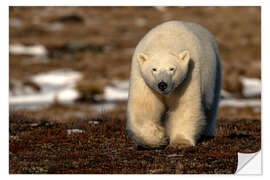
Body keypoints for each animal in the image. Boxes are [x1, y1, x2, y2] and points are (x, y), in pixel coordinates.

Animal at [125, 20, 220, 148]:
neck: (164, 43)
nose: (162, 84)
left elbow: (185, 106)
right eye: (154, 69)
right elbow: (144, 107)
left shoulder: (188, 77)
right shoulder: (142, 79)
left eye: (172, 68)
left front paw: (180, 142)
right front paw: (158, 138)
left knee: (211, 106)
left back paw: (208, 133)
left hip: (214, 74)